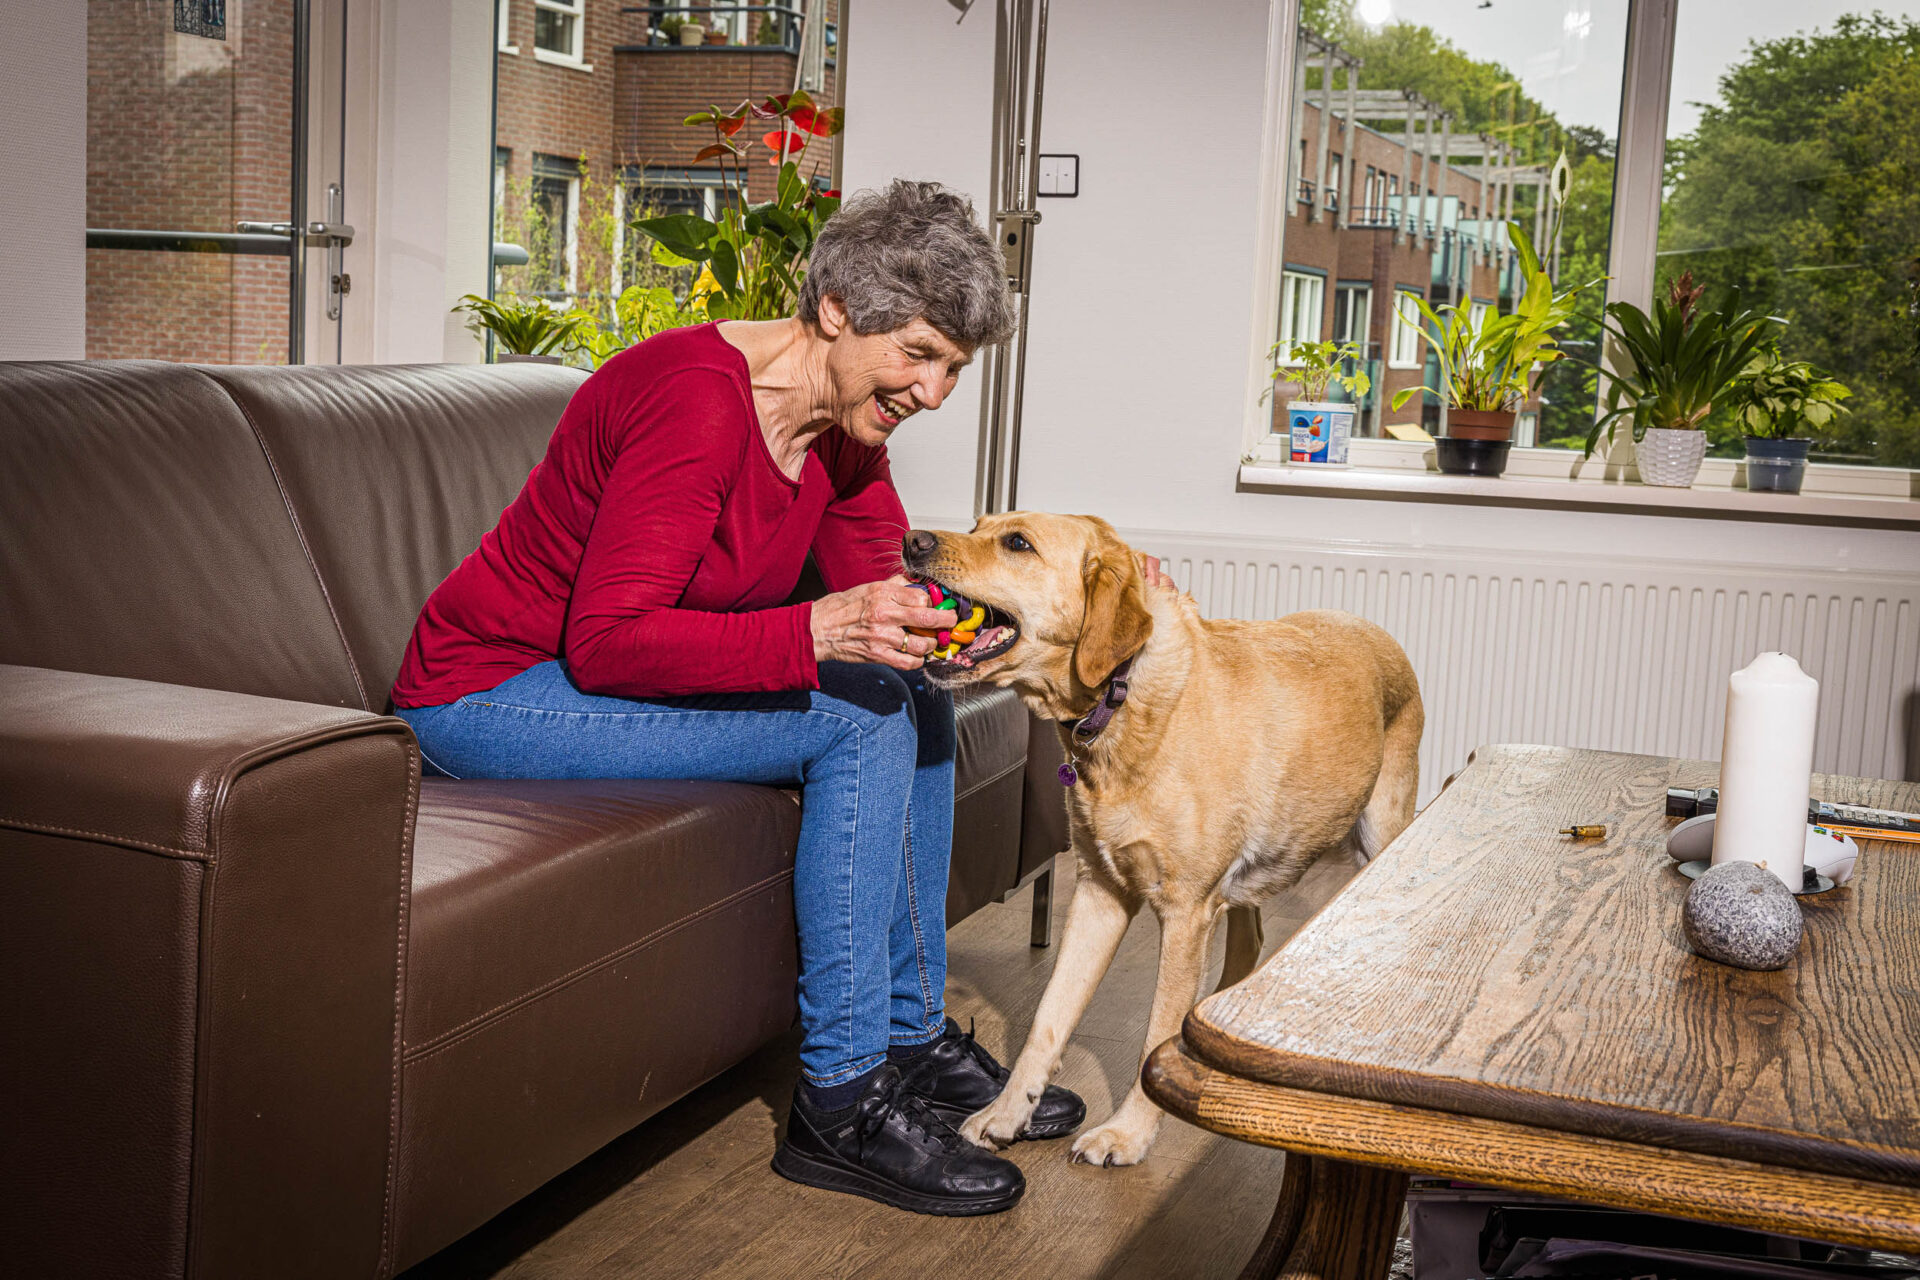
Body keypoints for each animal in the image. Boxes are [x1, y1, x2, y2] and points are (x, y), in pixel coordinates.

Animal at [894, 514, 1413, 1174]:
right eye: (978, 525)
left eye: (1017, 543)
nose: (912, 540)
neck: (1120, 703)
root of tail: (1375, 630)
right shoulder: (1100, 893)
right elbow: (1048, 1018)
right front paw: (1005, 1115)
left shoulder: (1186, 910)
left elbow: (1152, 1036)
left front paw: (1127, 1135)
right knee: (1250, 939)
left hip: (1379, 842)